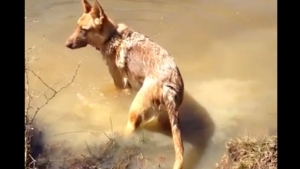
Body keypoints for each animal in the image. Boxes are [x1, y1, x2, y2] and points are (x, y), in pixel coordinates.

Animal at [66, 0, 185, 168]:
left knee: (128, 130)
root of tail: (168, 87)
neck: (111, 37)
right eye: (77, 26)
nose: (66, 44)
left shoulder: (119, 85)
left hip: (134, 111)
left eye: (84, 29)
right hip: (162, 116)